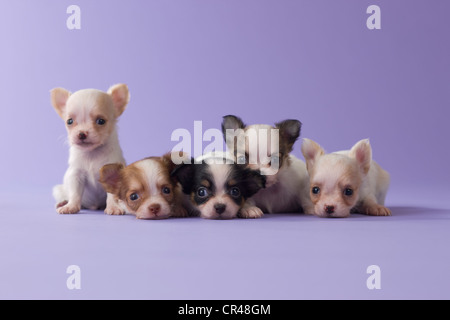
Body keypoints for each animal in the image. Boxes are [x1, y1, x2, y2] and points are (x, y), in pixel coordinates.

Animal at [50, 84, 129, 215]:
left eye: (101, 121)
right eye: (69, 121)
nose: (82, 133)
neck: (92, 153)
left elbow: (111, 195)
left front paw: (113, 207)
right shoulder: (76, 175)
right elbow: (75, 194)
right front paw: (71, 206)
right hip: (59, 190)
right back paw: (63, 202)